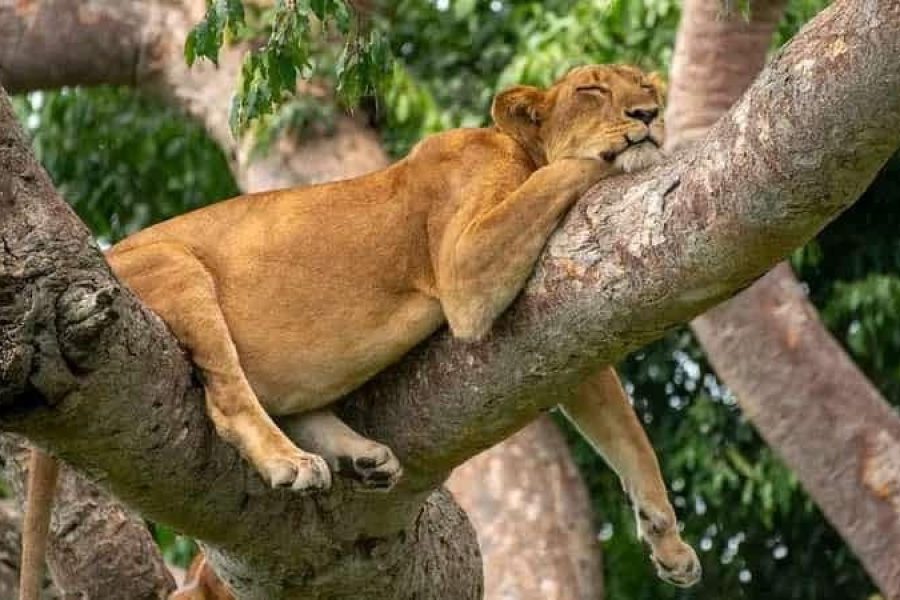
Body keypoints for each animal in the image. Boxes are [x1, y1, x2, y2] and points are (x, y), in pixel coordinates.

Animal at [20, 64, 700, 600]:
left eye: (643, 84)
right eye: (592, 89)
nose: (649, 112)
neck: (518, 149)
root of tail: (104, 256)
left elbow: (626, 436)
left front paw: (668, 542)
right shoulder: (465, 270)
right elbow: (565, 174)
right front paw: (626, 152)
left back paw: (362, 456)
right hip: (177, 267)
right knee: (229, 398)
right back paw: (290, 462)